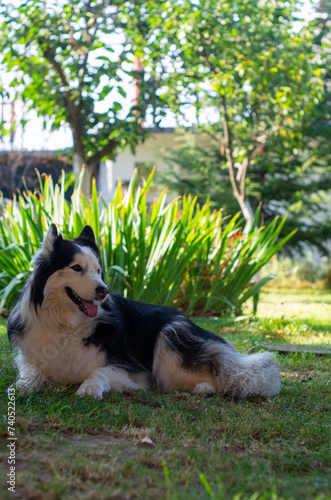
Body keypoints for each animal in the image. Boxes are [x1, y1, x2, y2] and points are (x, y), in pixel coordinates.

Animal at [7, 226, 282, 398]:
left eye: (98, 271)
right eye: (76, 268)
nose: (103, 291)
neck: (68, 324)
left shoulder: (135, 372)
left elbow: (98, 371)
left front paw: (89, 389)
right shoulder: (29, 358)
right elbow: (30, 373)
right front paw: (22, 387)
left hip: (169, 341)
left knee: (218, 378)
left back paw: (204, 388)